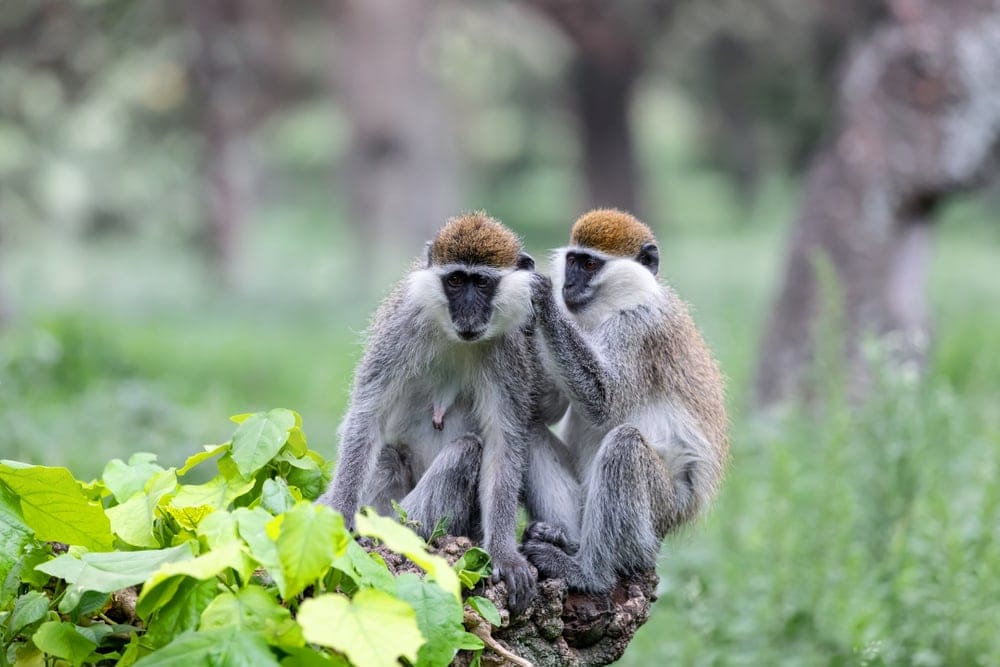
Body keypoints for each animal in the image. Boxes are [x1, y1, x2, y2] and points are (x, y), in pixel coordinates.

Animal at [317, 212, 541, 614]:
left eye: (481, 282)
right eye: (455, 280)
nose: (467, 312)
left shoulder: (509, 350)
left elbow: (504, 442)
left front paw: (505, 554)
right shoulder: (403, 324)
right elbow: (368, 412)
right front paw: (339, 510)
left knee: (467, 449)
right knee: (387, 453)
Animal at [520, 208, 729, 593]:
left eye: (589, 265)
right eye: (572, 261)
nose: (566, 286)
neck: (615, 306)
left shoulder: (639, 328)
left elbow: (604, 401)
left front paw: (542, 298)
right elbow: (544, 409)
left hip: (663, 507)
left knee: (626, 445)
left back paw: (588, 572)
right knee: (526, 429)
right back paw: (561, 538)